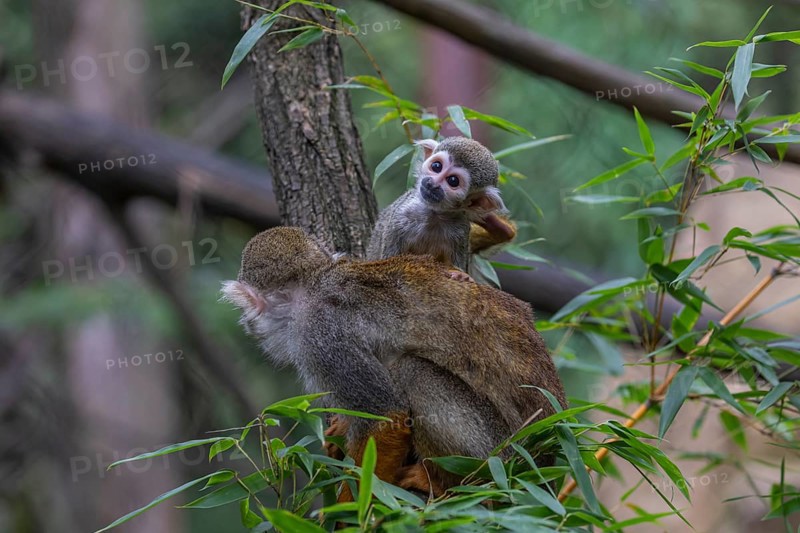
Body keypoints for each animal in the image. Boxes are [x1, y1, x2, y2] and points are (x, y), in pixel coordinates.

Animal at [221, 227, 566, 498]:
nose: (248, 324)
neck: (315, 285)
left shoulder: (320, 335)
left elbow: (386, 415)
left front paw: (350, 513)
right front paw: (339, 433)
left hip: (500, 456)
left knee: (413, 373)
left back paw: (442, 481)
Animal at [367, 137, 517, 281]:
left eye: (453, 180)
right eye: (436, 166)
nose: (432, 183)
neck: (433, 214)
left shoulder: (460, 231)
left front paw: (459, 274)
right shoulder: (400, 216)